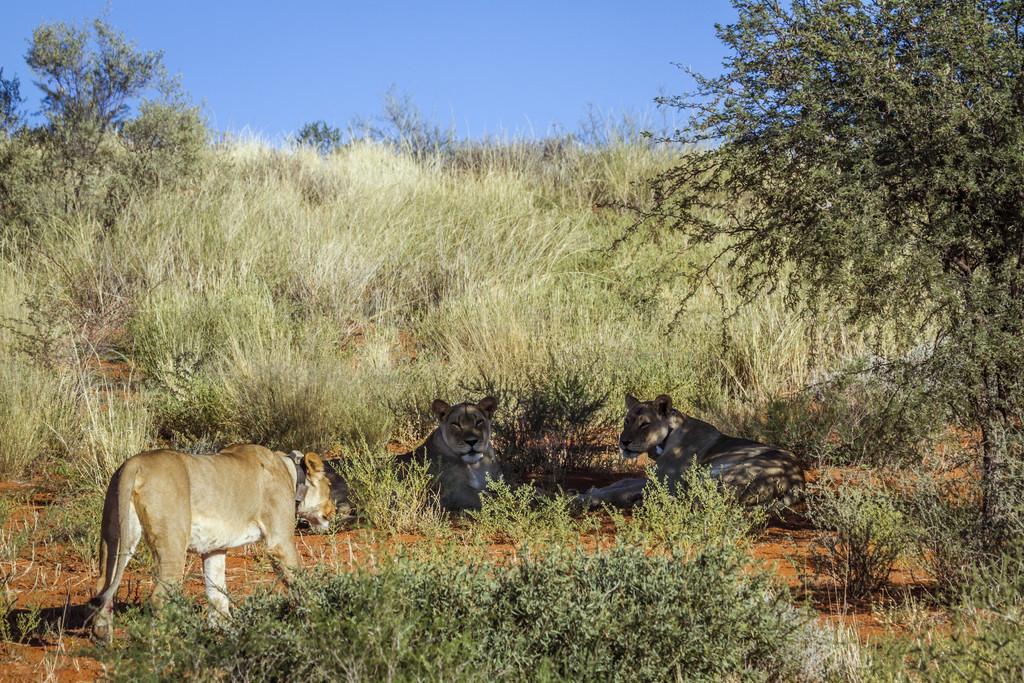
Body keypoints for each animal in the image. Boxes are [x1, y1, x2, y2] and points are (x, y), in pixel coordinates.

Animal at [89, 444, 333, 643]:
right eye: (330, 485)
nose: (334, 509)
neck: (289, 471)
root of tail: (134, 463)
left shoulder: (214, 548)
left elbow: (217, 592)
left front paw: (224, 632)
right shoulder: (280, 542)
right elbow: (300, 582)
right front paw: (317, 619)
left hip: (115, 535)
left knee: (103, 583)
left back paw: (103, 636)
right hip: (172, 544)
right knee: (159, 596)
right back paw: (172, 645)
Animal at [581, 395, 802, 511]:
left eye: (645, 424)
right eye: (627, 421)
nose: (624, 442)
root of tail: (799, 479)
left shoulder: (668, 480)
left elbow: (618, 489)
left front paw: (583, 498)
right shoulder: (657, 477)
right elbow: (622, 482)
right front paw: (589, 490)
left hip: (725, 475)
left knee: (696, 501)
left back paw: (641, 501)